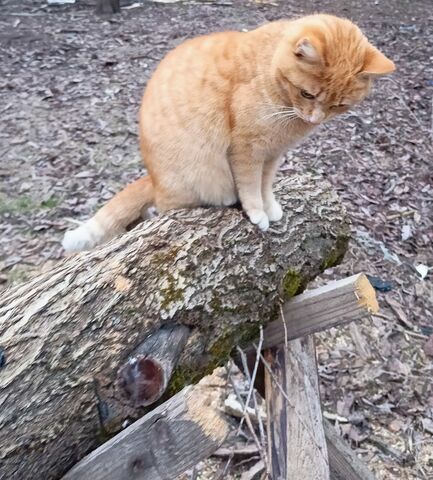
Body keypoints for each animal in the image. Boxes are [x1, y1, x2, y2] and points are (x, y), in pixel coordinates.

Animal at [62, 14, 395, 252]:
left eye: (339, 105)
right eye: (307, 94)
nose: (314, 119)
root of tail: (153, 179)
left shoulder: (272, 155)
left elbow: (266, 186)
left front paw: (270, 207)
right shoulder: (247, 151)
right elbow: (250, 188)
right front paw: (258, 213)